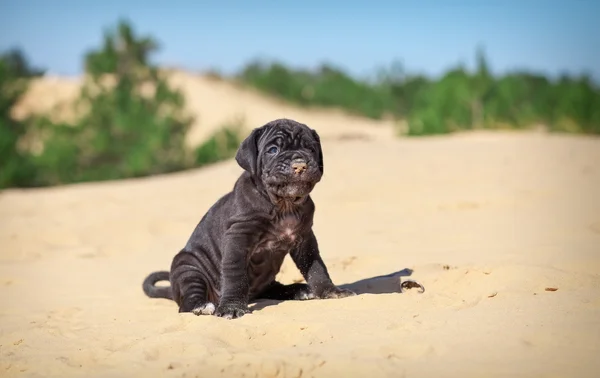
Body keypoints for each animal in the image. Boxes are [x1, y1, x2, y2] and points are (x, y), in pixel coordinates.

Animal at [142, 118, 354, 318]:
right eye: (273, 150)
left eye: (310, 148)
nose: (300, 165)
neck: (284, 205)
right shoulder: (238, 236)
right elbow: (235, 274)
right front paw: (232, 307)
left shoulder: (304, 238)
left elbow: (316, 267)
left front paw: (330, 291)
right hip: (188, 268)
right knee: (187, 302)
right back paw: (200, 306)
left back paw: (298, 290)